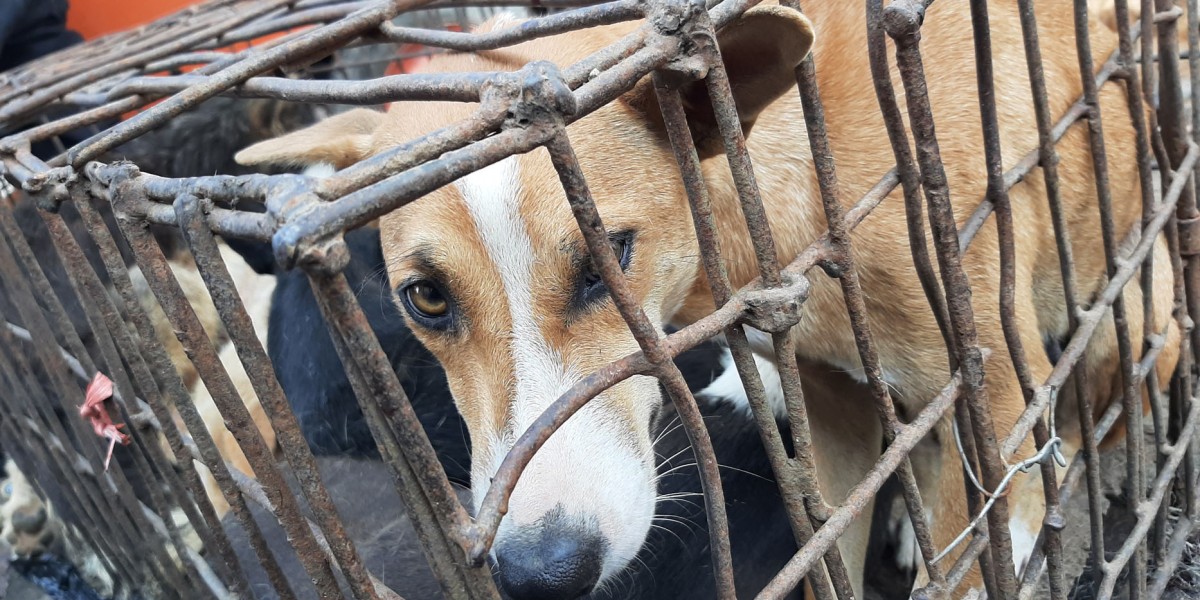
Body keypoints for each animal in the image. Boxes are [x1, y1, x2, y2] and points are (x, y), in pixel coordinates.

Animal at [236, 2, 1180, 597]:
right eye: (426, 297)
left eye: (609, 259)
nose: (544, 572)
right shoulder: (830, 412)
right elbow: (827, 556)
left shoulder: (996, 398)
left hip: (1132, 330)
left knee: (1086, 417)